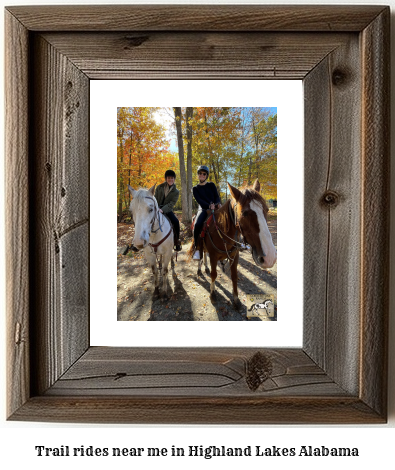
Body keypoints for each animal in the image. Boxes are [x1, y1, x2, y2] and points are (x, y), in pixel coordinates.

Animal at [188, 180, 276, 312]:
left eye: (266, 209)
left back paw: (205, 267)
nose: (269, 258)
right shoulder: (213, 257)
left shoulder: (234, 256)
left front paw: (236, 300)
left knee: (204, 253)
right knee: (200, 253)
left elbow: (234, 277)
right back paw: (199, 270)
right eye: (244, 213)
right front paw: (212, 294)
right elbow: (214, 275)